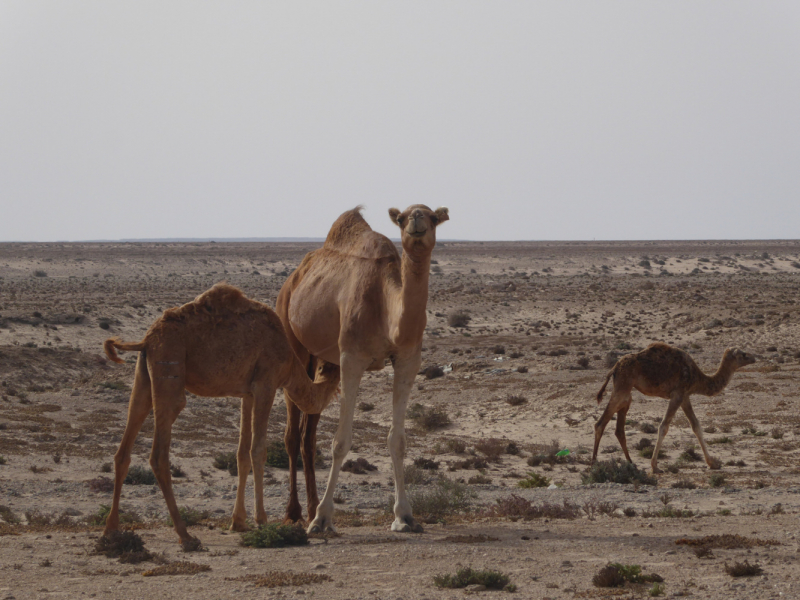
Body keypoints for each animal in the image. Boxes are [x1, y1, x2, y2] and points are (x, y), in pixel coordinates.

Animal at [100, 284, 338, 552]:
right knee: (159, 454)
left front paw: (238, 522)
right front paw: (262, 520)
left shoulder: (247, 393)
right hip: (168, 368)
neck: (290, 365)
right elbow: (258, 450)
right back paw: (186, 535)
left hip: (143, 376)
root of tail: (147, 340)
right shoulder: (265, 384)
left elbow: (242, 453)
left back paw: (111, 530)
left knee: (123, 451)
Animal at [278, 206, 446, 536]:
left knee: (308, 435)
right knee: (292, 435)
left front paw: (404, 516)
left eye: (434, 216)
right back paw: (296, 514)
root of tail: (294, 278)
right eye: (402, 217)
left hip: (324, 360)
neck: (385, 307)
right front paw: (322, 519)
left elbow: (397, 440)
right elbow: (341, 441)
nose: (417, 218)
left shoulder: (407, 360)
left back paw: (310, 508)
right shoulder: (351, 358)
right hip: (293, 337)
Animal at [592, 342, 756, 474]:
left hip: (626, 392)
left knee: (618, 429)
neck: (698, 378)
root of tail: (614, 368)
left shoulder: (685, 396)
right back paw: (594, 464)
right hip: (623, 387)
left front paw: (713, 463)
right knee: (600, 423)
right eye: (743, 354)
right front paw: (655, 467)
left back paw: (630, 463)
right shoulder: (677, 394)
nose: (754, 357)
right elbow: (664, 426)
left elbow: (696, 426)